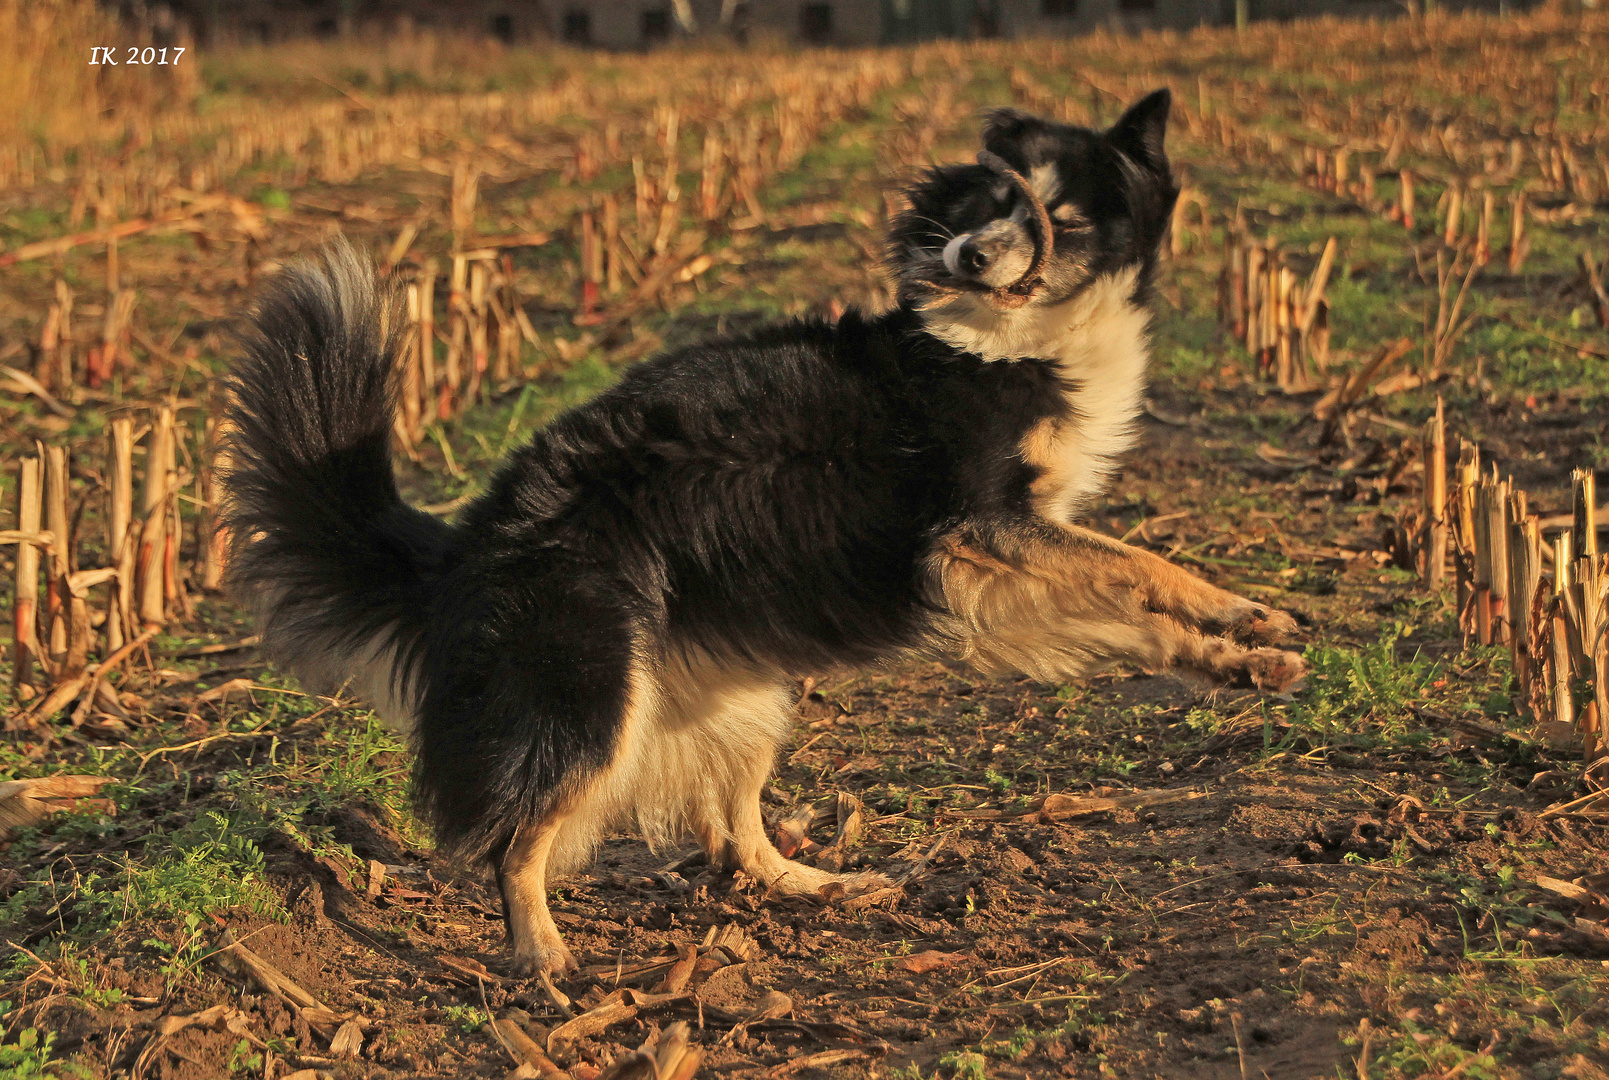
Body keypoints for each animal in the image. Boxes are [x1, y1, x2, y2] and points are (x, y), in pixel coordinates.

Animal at [223, 88, 1306, 978]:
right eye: (981, 210)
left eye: (1062, 217)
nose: (967, 257)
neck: (1006, 341)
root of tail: (465, 544)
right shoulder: (977, 531)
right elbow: (1138, 565)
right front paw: (1243, 622)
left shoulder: (1008, 558)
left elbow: (1128, 603)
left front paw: (1240, 656)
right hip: (592, 692)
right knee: (516, 837)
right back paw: (543, 958)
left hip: (739, 698)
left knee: (735, 839)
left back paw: (822, 886)